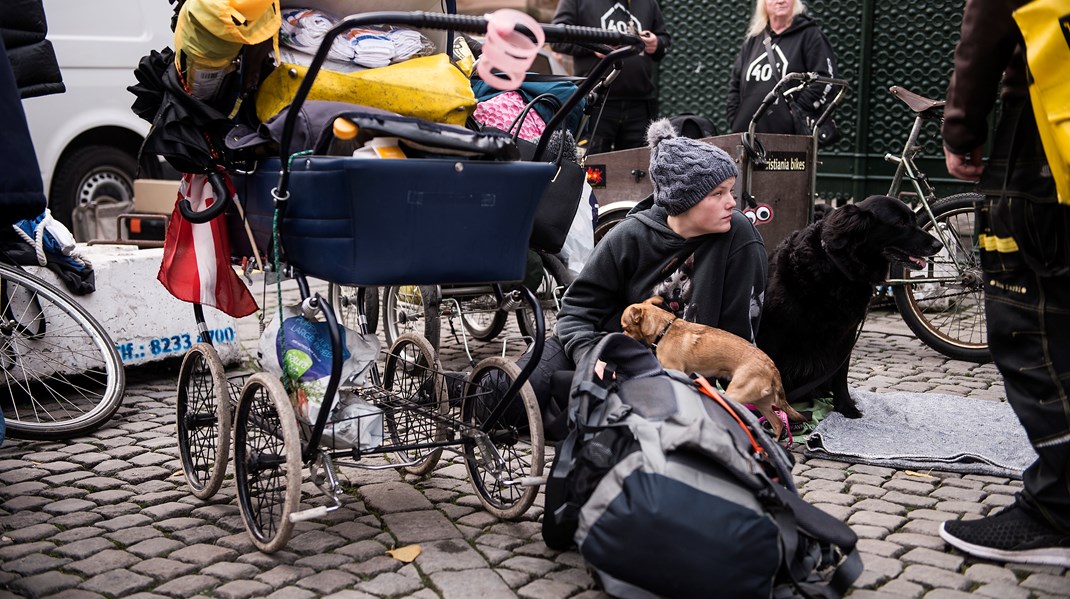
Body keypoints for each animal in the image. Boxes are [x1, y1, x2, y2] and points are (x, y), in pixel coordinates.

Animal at [620, 297, 804, 438]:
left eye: (625, 328)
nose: (620, 335)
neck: (664, 329)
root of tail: (772, 368)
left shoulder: (676, 371)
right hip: (761, 403)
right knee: (778, 423)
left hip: (735, 395)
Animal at [757, 195, 941, 417]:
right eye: (900, 223)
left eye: (913, 219)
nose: (939, 244)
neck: (837, 268)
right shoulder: (774, 331)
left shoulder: (847, 334)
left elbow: (841, 374)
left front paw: (845, 407)